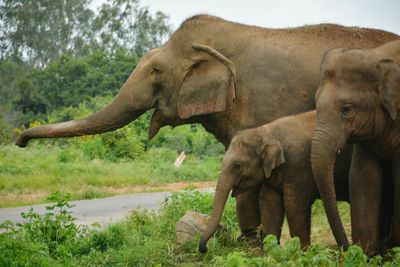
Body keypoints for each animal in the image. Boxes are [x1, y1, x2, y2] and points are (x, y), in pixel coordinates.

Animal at [199, 111, 350, 253]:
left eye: (237, 166)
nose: (205, 249)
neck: (267, 132)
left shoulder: (298, 166)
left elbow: (294, 205)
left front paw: (302, 253)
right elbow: (269, 204)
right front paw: (270, 252)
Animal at [312, 39, 400, 255]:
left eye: (347, 109)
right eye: (315, 104)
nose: (345, 247)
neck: (378, 56)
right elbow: (362, 177)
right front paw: (365, 254)